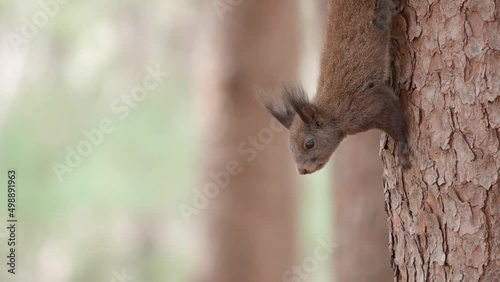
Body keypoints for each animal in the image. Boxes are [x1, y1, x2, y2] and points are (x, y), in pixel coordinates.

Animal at [258, 0, 410, 174]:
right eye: (290, 149)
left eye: (309, 144)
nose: (302, 171)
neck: (332, 116)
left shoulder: (370, 106)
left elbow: (394, 119)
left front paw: (403, 151)